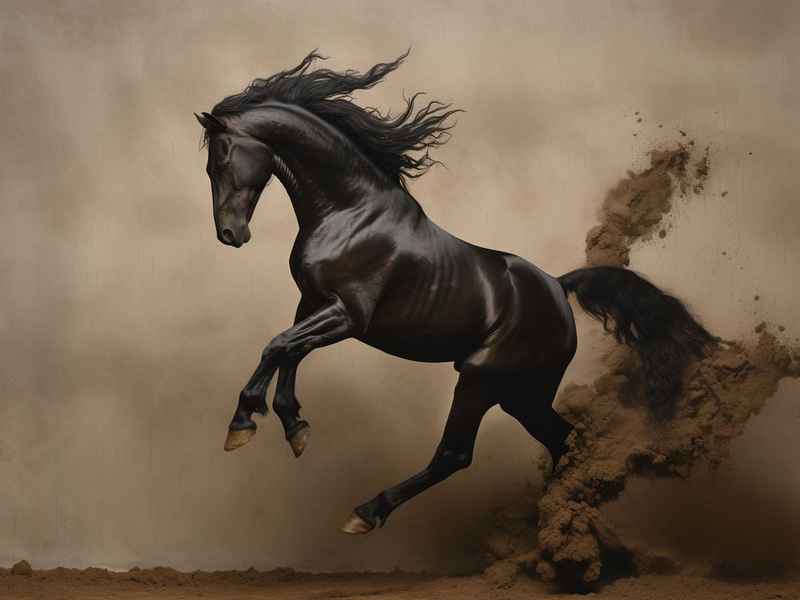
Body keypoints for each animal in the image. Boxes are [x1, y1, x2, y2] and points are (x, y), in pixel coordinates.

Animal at [194, 51, 712, 535]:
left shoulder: (348, 315)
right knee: (561, 439)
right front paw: (294, 426)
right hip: (522, 395)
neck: (350, 211)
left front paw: (242, 423)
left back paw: (368, 512)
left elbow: (277, 345)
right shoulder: (315, 303)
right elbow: (291, 351)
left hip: (482, 380)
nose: (230, 234)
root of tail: (559, 289)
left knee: (455, 454)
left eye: (220, 158)